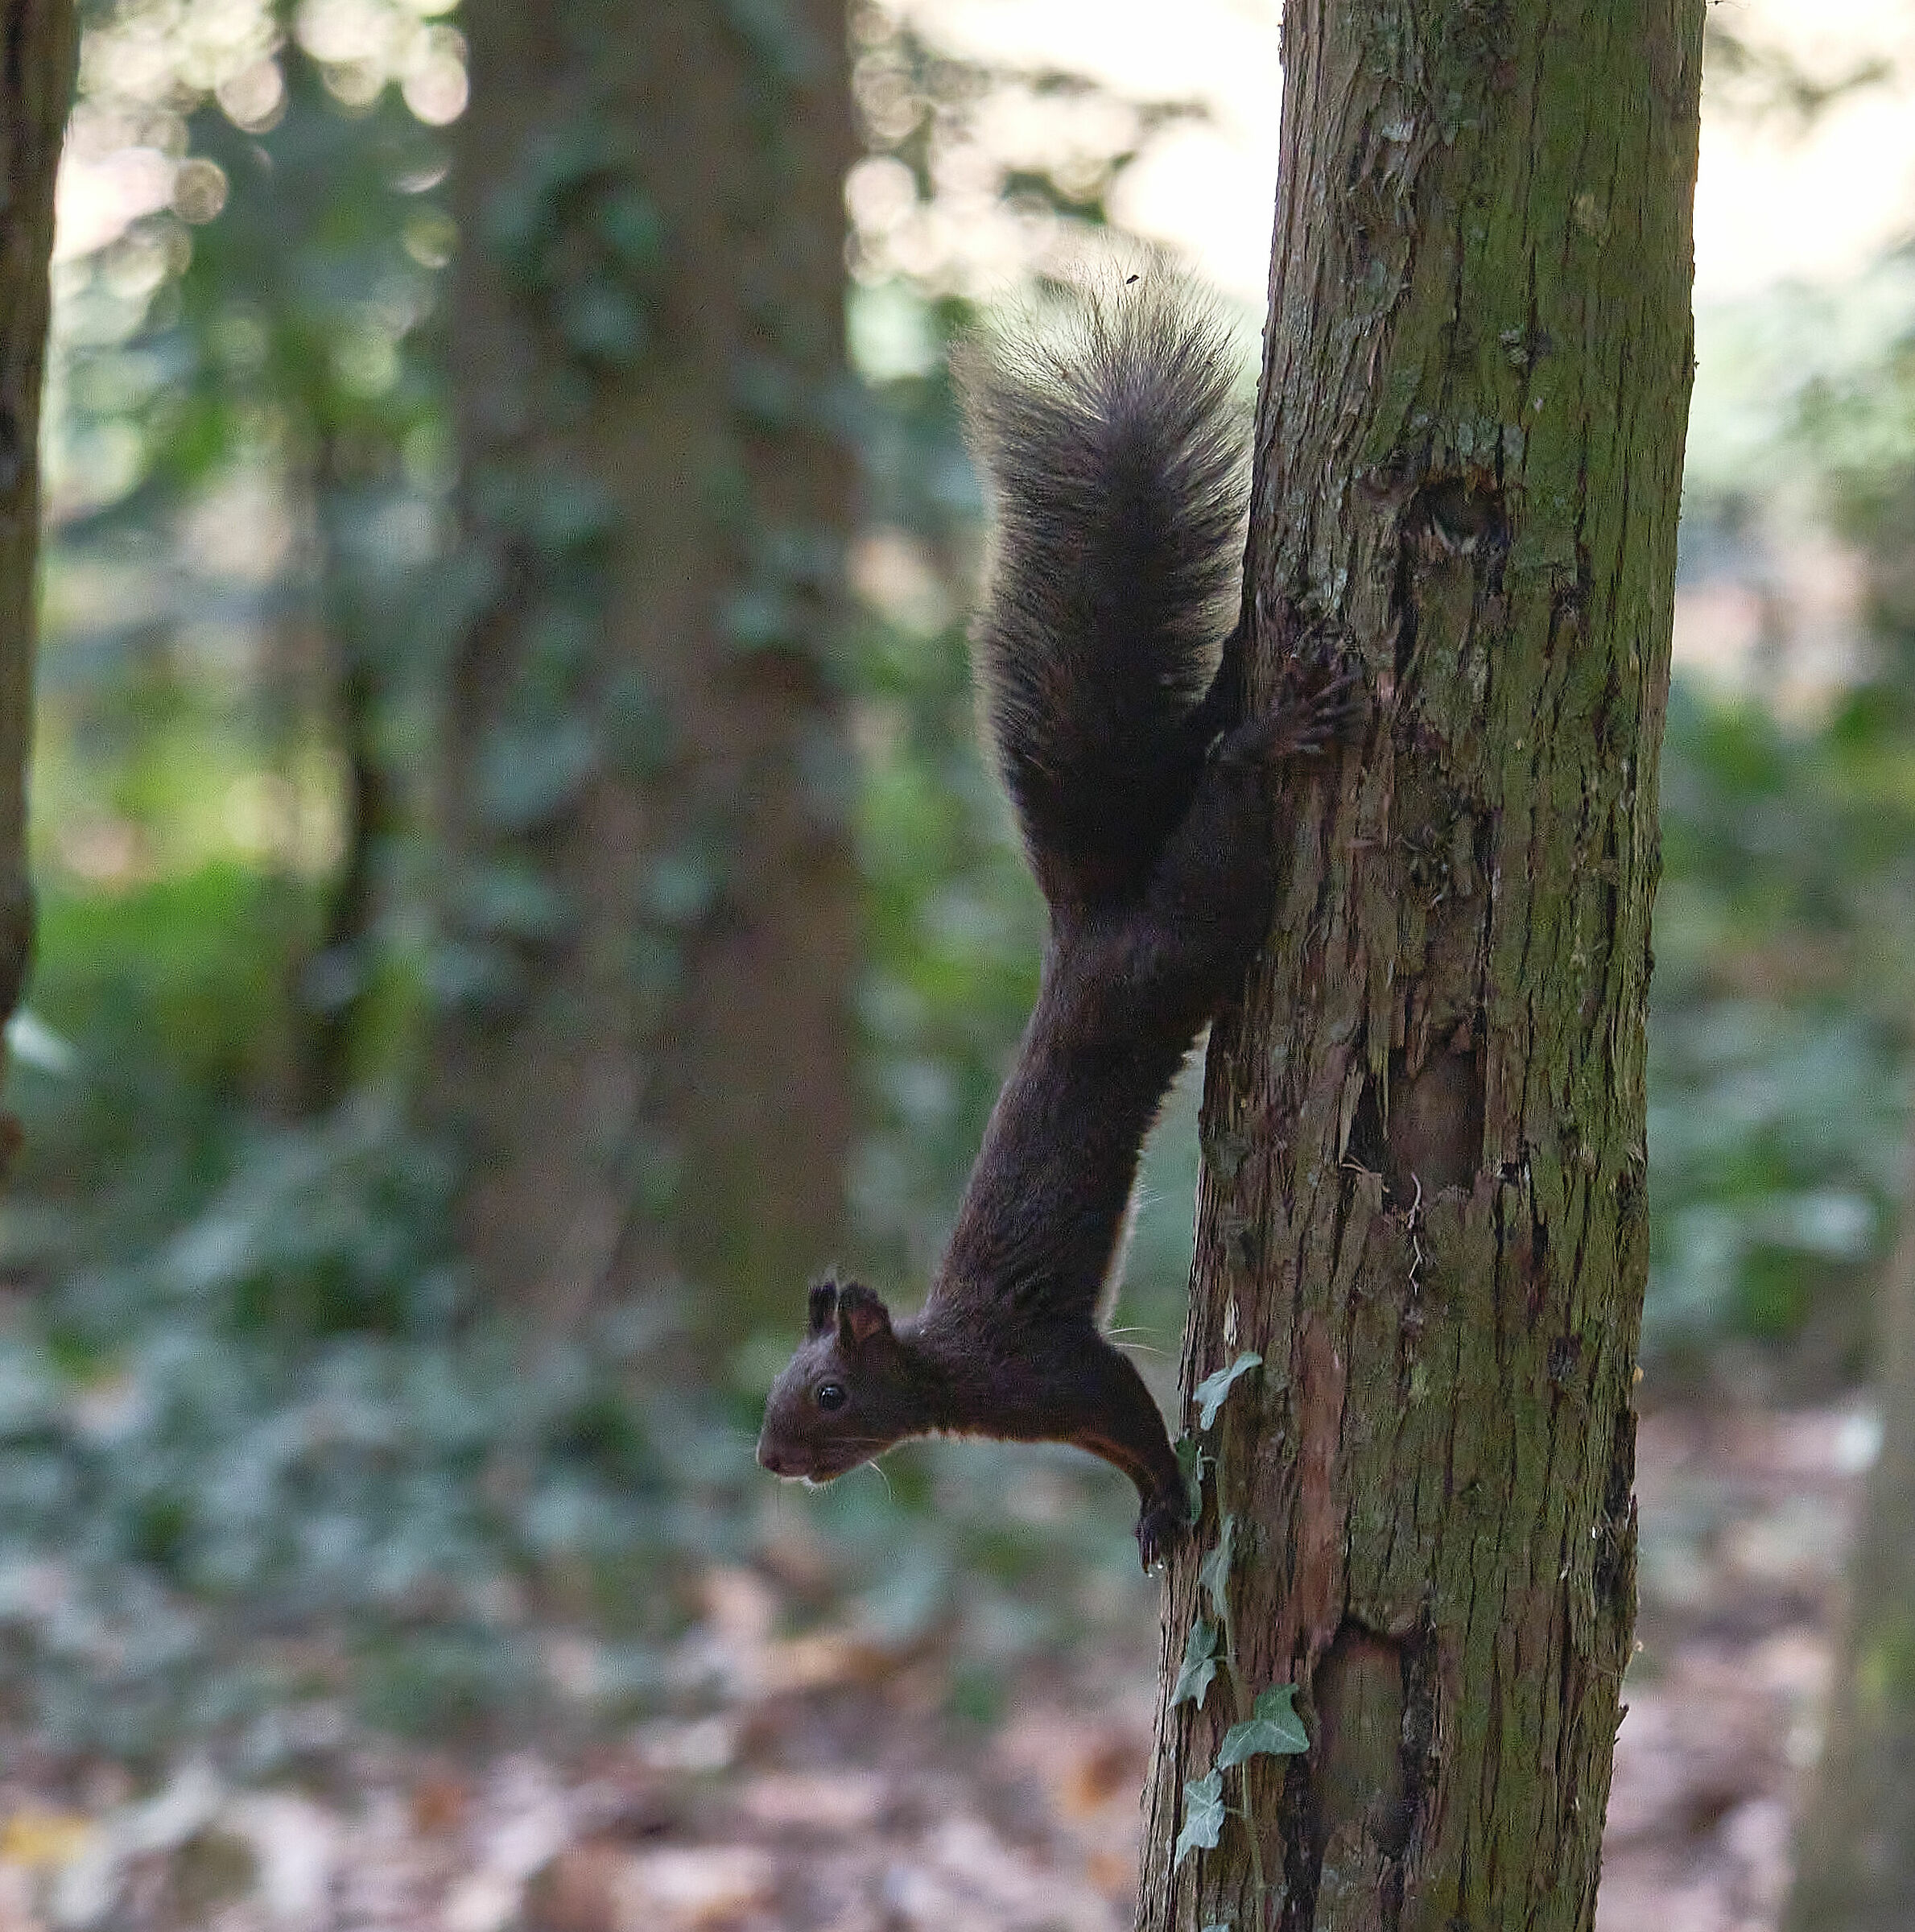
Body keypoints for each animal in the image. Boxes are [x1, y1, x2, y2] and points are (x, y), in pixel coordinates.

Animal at [757, 281, 1351, 1570]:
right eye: (779, 1388)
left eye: (827, 1394)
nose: (770, 1460)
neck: (948, 1375)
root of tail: (1085, 924)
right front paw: (1153, 1510)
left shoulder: (1049, 1371)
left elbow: (1131, 1414)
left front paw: (1166, 1501)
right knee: (1203, 729)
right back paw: (1242, 670)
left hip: (1186, 934)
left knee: (1225, 798)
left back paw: (1271, 732)